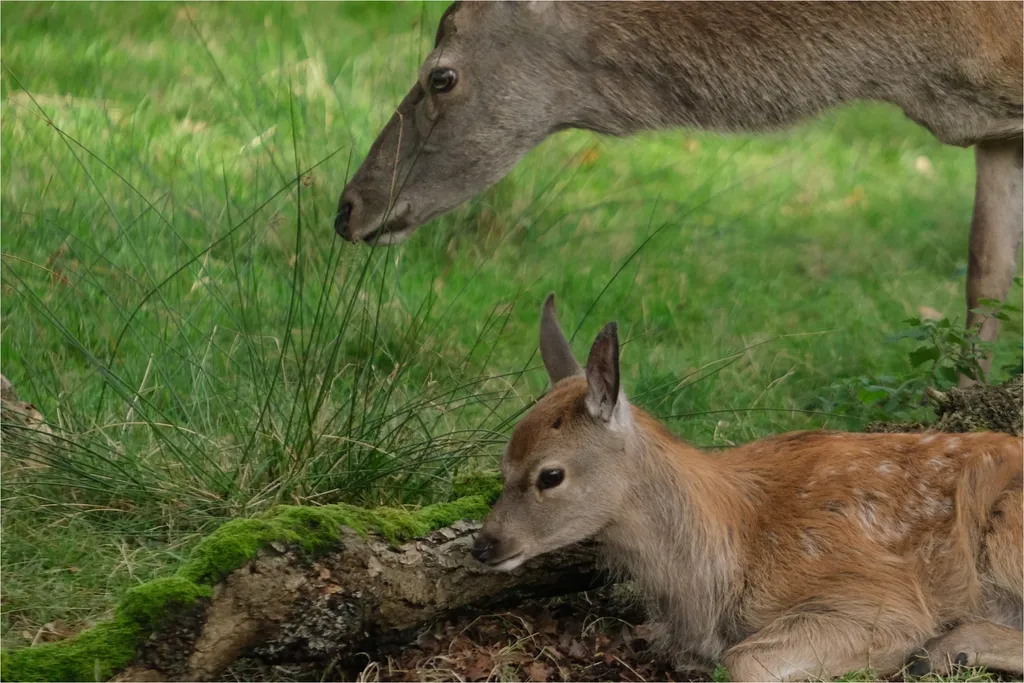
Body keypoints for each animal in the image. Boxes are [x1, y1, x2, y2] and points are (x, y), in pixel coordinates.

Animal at [469, 293, 1024, 682]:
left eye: (550, 474)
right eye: (501, 464)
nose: (484, 544)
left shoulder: (881, 597)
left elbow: (742, 662)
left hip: (1006, 529)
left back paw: (943, 651)